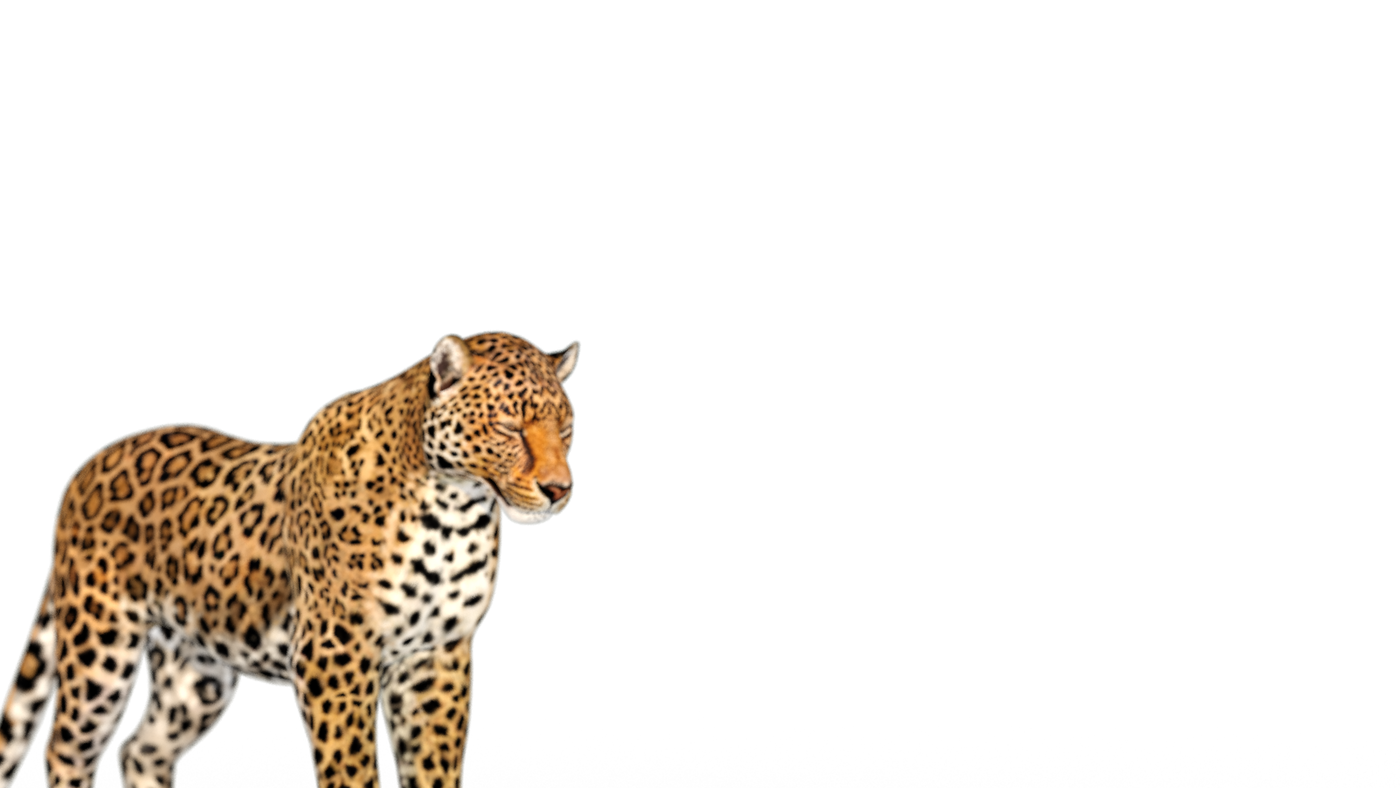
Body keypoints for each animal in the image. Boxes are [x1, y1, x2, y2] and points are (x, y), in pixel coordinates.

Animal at [0, 329, 581, 788]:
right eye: (508, 426)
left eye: (566, 427)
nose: (560, 489)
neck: (454, 513)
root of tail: (87, 467)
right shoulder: (336, 651)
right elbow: (350, 767)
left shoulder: (437, 655)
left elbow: (433, 765)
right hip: (101, 645)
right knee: (66, 748)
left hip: (196, 673)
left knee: (142, 751)